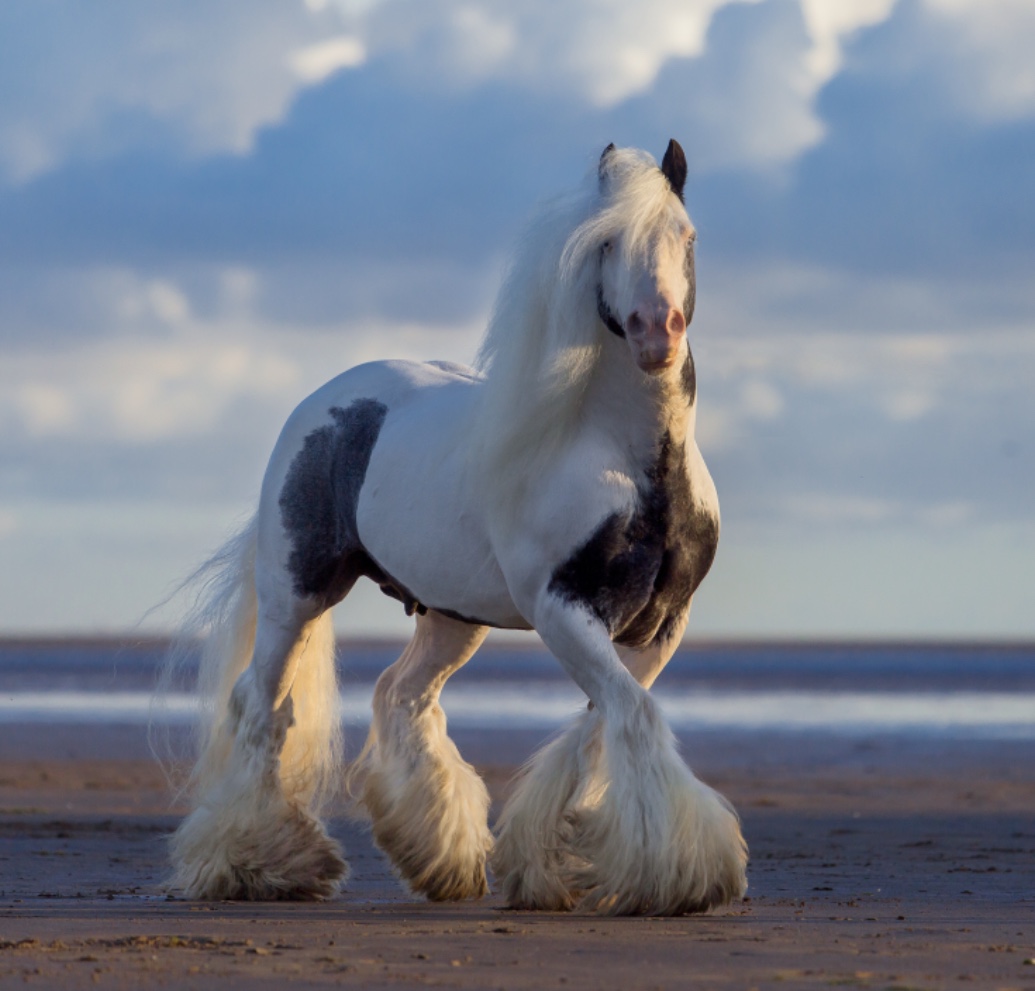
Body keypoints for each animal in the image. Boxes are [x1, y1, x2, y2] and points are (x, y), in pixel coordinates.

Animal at [167, 138, 753, 911]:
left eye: (687, 236)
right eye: (606, 242)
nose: (656, 332)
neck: (632, 464)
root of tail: (326, 401)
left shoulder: (661, 623)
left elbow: (603, 721)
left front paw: (548, 861)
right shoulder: (564, 609)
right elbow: (631, 717)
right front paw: (672, 875)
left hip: (451, 615)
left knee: (403, 695)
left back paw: (438, 860)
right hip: (296, 592)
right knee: (263, 706)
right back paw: (265, 864)